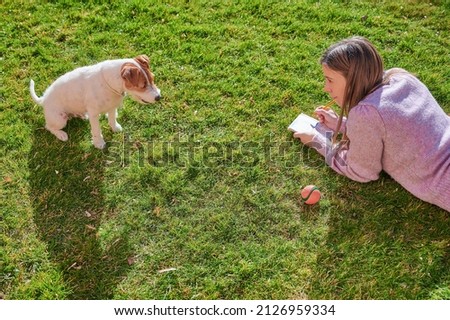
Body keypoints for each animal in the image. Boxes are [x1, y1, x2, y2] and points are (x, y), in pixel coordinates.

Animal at [29, 54, 161, 149]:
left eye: (152, 78)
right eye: (142, 85)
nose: (159, 97)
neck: (109, 82)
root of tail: (43, 99)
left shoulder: (111, 106)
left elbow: (112, 119)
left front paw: (115, 128)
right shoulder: (94, 114)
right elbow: (96, 130)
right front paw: (99, 143)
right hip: (59, 119)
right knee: (49, 127)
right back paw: (61, 134)